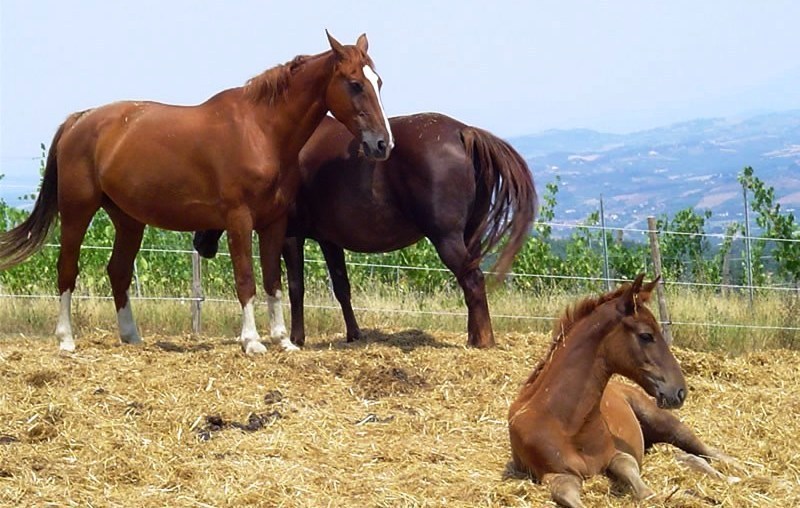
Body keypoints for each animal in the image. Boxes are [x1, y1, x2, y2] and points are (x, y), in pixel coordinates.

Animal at [0, 31, 394, 354]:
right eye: (355, 84)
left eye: (378, 82)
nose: (382, 144)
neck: (261, 131)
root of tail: (80, 119)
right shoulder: (239, 220)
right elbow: (246, 278)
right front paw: (252, 342)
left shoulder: (274, 223)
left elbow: (273, 280)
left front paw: (283, 340)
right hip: (77, 211)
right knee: (67, 268)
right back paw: (66, 340)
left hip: (128, 220)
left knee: (118, 271)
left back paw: (132, 336)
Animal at [192, 112, 536, 348]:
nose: (198, 243)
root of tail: (463, 132)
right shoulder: (329, 240)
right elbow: (342, 287)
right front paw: (354, 333)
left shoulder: (291, 235)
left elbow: (295, 287)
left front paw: (297, 337)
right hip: (467, 236)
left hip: (447, 239)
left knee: (473, 280)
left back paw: (482, 340)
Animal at [506, 276, 736, 506]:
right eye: (646, 335)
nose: (680, 391)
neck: (565, 423)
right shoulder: (555, 474)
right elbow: (565, 492)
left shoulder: (616, 454)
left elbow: (634, 476)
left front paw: (692, 495)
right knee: (685, 456)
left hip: (665, 422)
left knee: (710, 452)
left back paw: (736, 474)